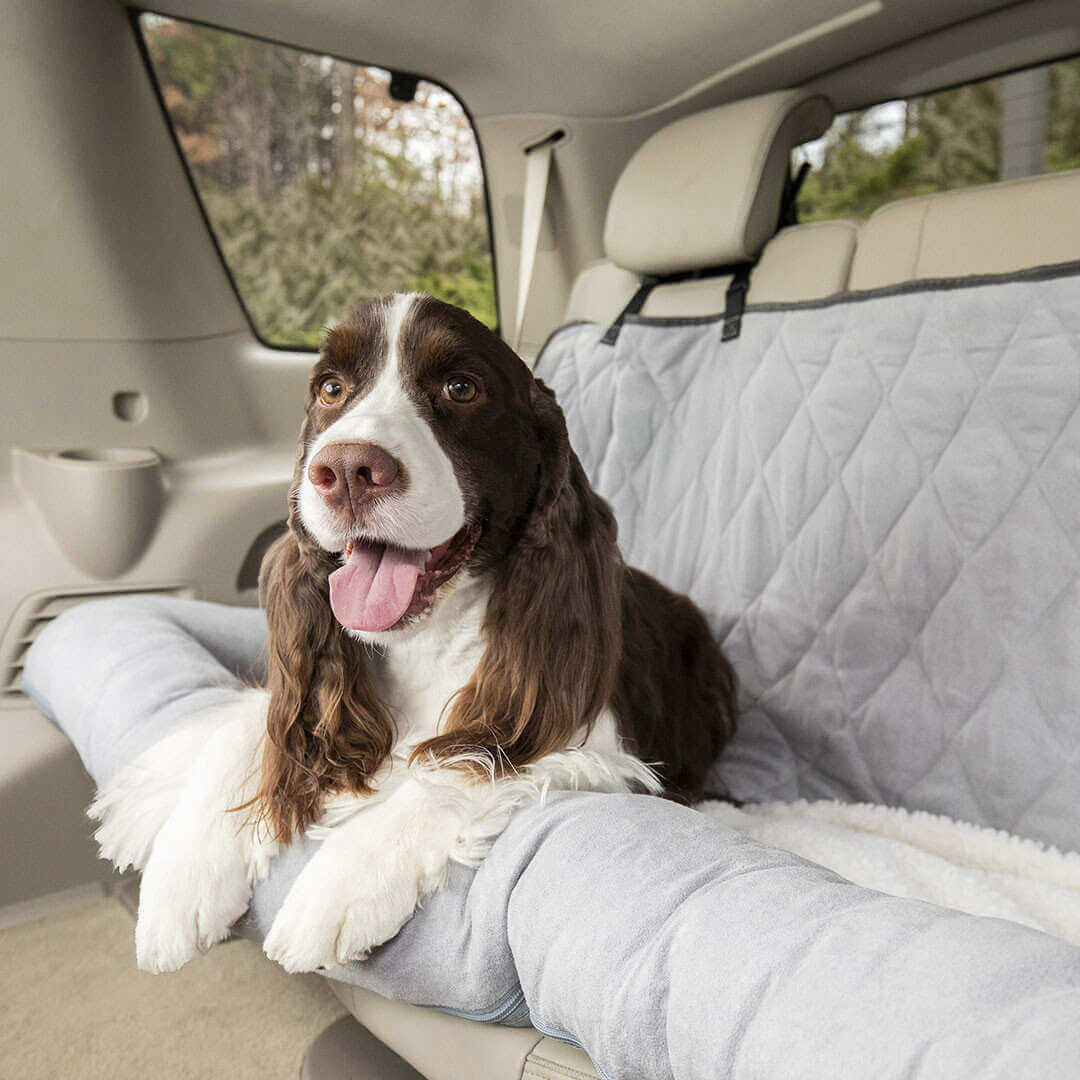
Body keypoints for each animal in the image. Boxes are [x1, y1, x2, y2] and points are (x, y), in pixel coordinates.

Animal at [92, 295, 738, 980]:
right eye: (330, 388)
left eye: (461, 388)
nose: (347, 469)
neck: (427, 641)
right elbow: (248, 728)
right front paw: (181, 881)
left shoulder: (597, 742)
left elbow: (463, 760)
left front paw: (334, 893)